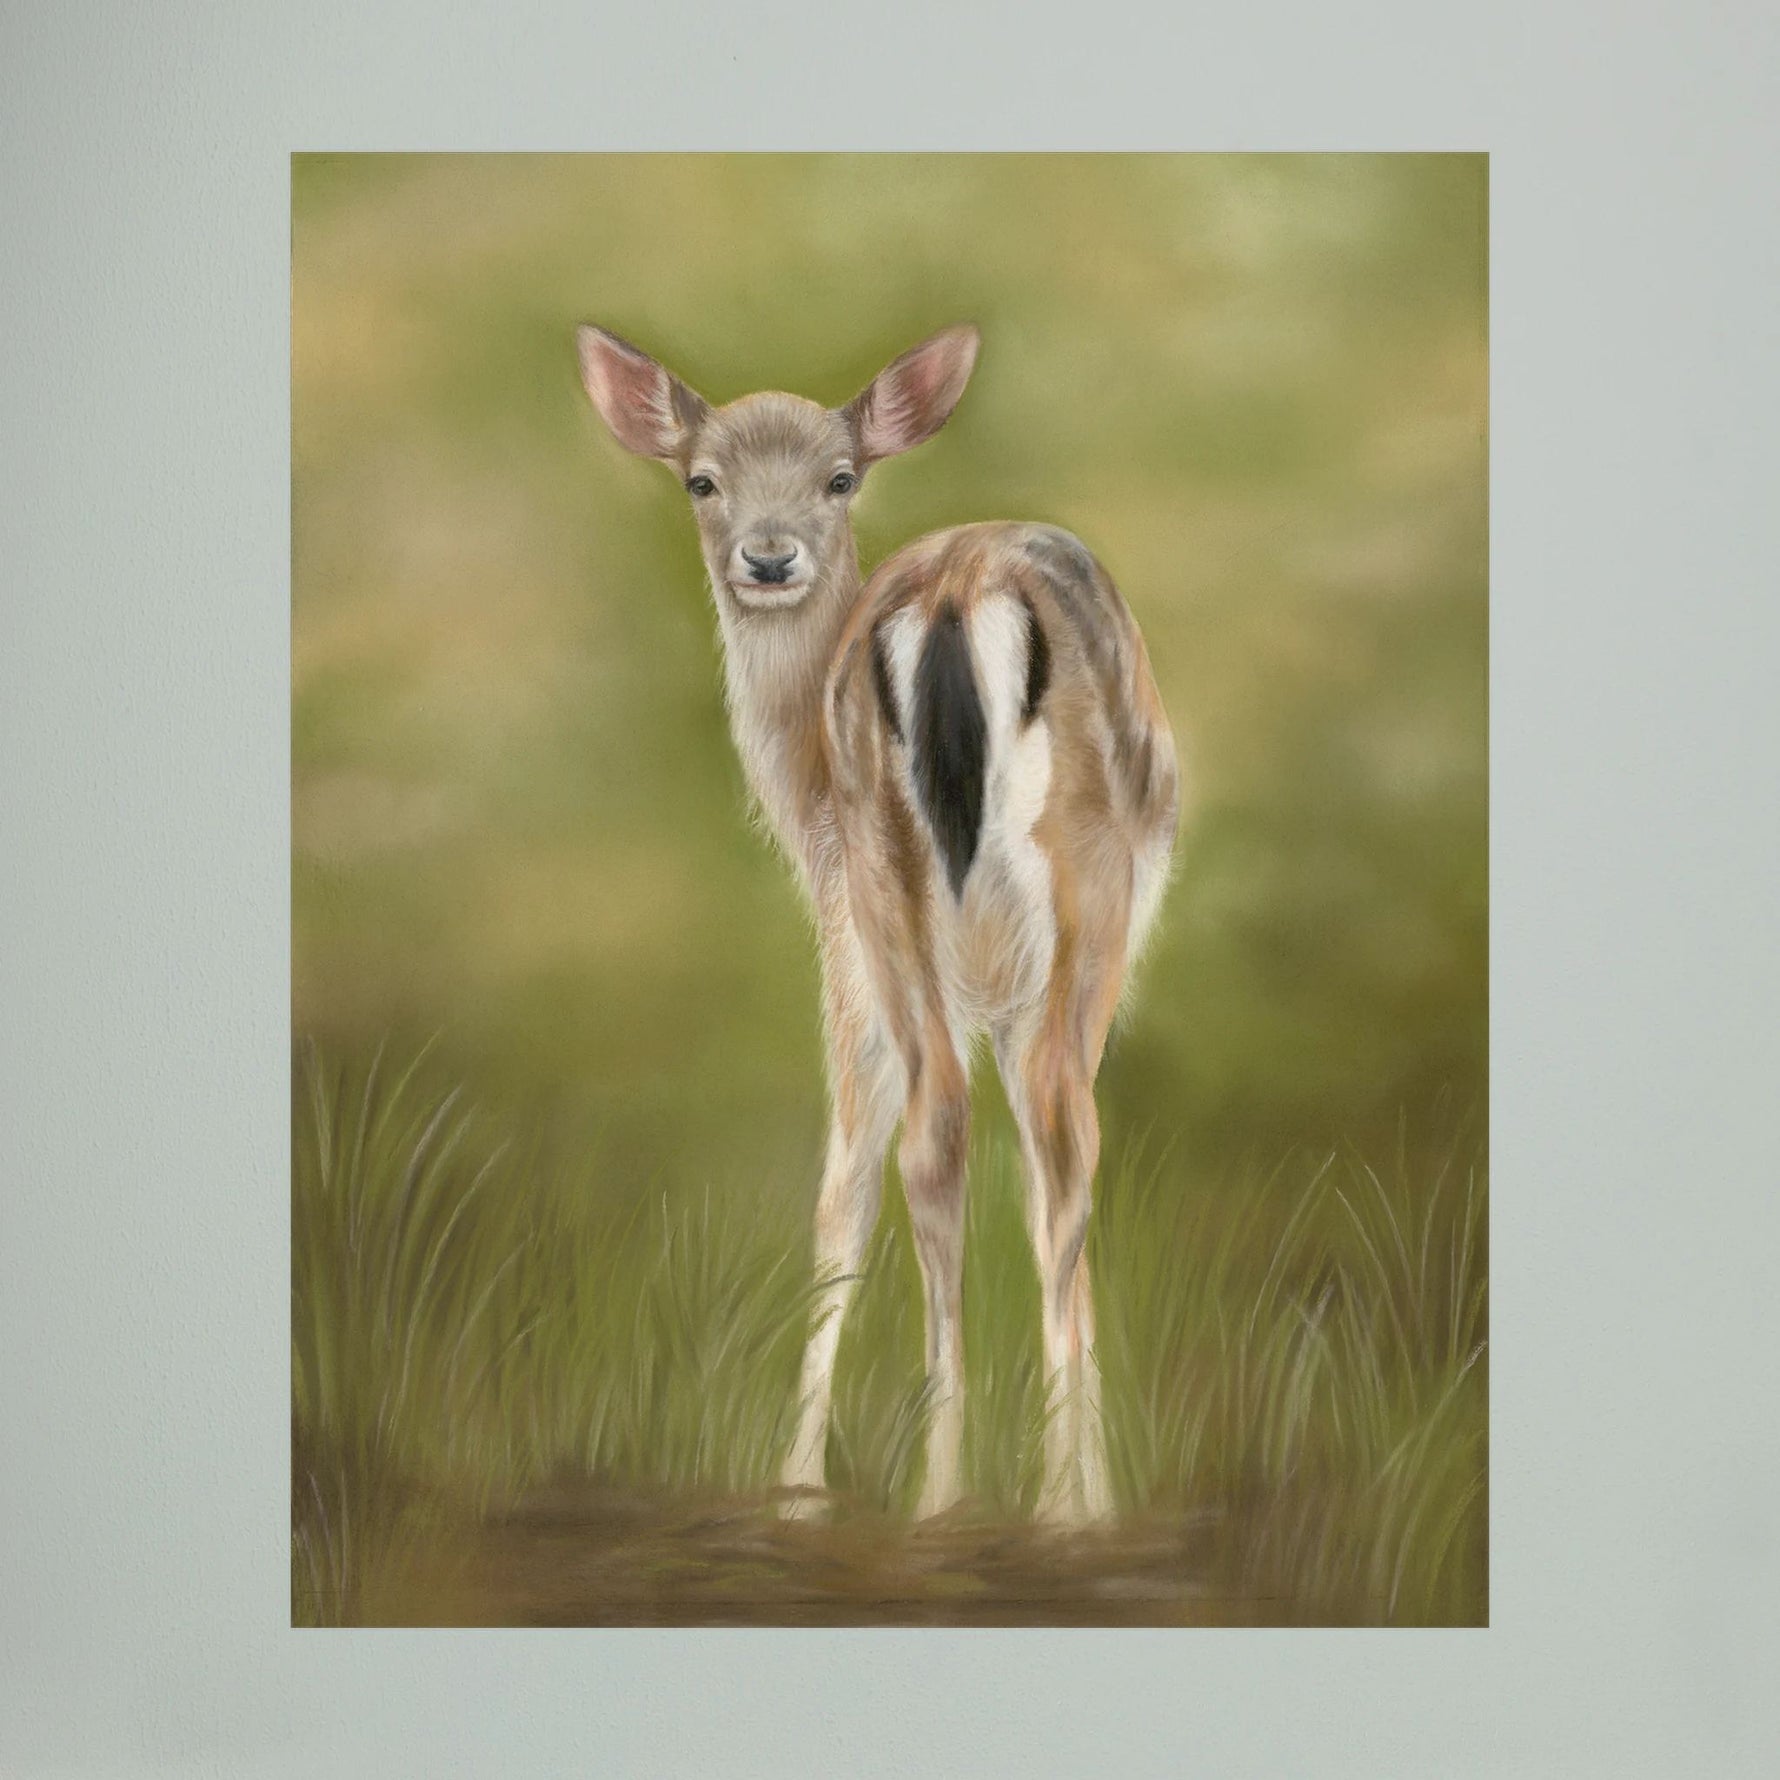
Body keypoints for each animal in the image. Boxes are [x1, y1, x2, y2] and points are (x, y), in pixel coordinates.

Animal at [575, 322, 1179, 1523]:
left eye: (839, 478)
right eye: (701, 479)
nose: (767, 559)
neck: (799, 799)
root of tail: (953, 596)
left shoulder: (869, 947)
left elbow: (856, 1183)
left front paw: (799, 1484)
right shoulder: (871, 958)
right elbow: (863, 1187)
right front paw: (804, 1482)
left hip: (904, 885)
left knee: (958, 1135)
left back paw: (957, 1493)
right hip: (1055, 895)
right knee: (1043, 1136)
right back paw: (1026, 1504)